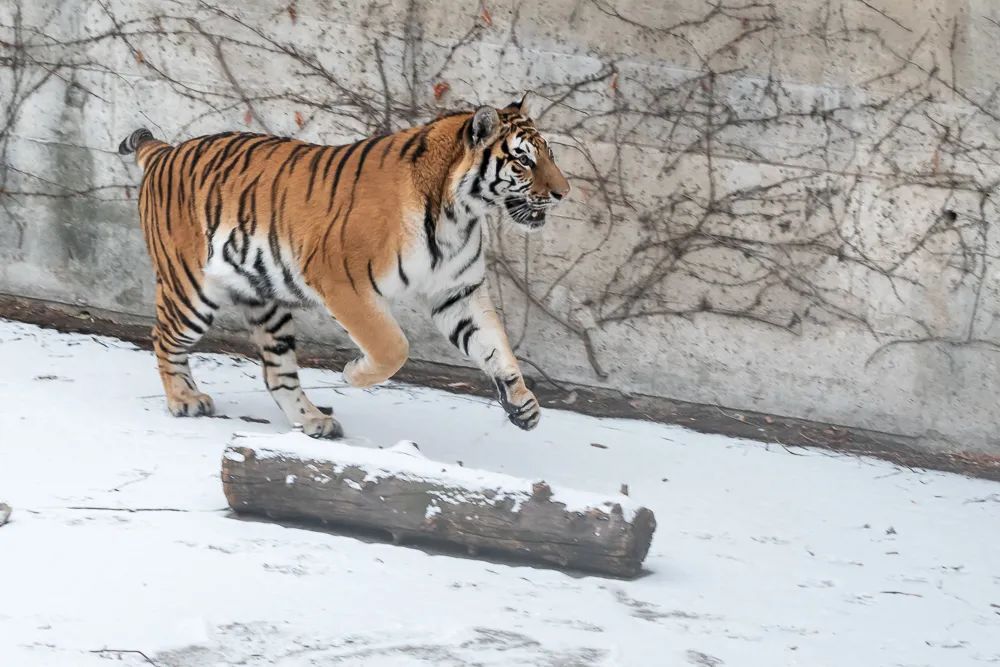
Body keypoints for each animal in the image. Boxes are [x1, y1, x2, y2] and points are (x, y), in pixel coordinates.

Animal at [117, 95, 572, 438]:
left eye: (549, 155)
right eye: (524, 161)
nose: (564, 193)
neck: (459, 214)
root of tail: (165, 151)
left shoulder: (457, 291)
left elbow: (495, 346)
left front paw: (523, 405)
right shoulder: (343, 282)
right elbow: (392, 346)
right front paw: (353, 375)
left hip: (263, 299)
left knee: (278, 372)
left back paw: (313, 421)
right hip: (190, 289)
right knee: (163, 339)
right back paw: (185, 400)